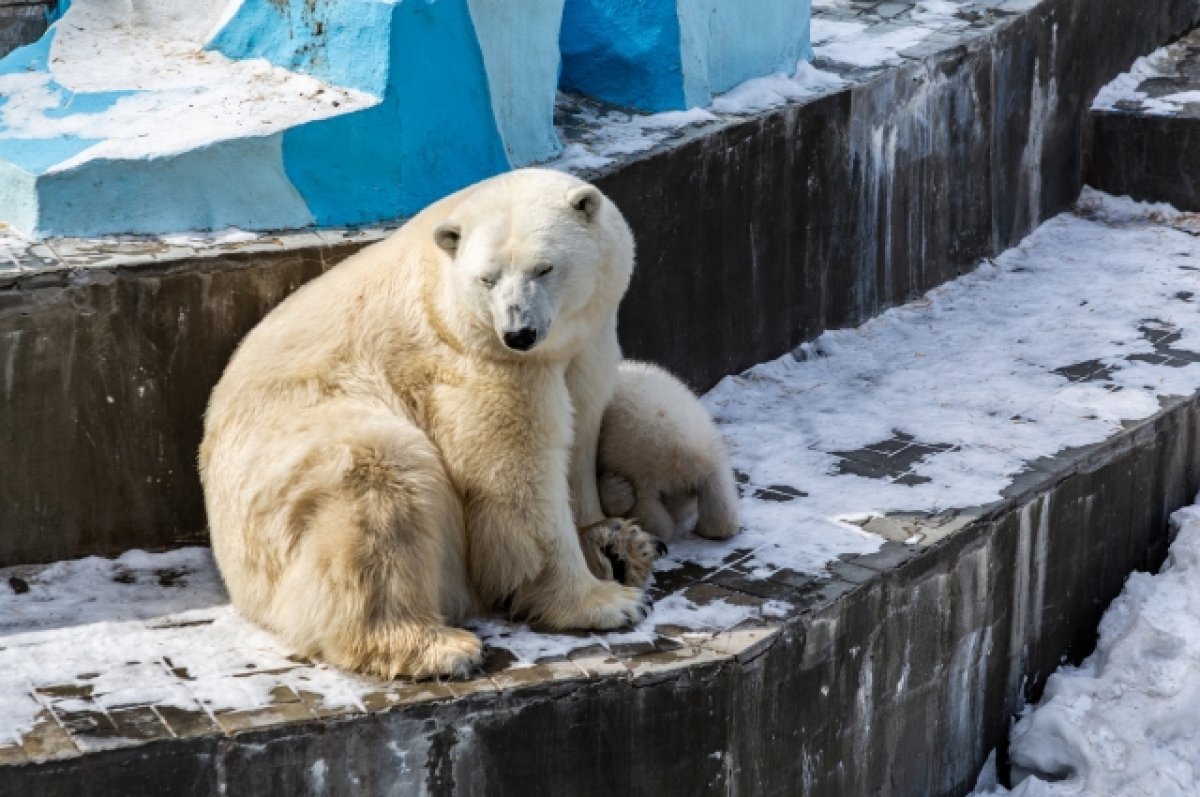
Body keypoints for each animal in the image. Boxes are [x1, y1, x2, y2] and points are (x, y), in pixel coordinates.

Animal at [200, 168, 662, 676]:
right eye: (487, 278)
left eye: (544, 268)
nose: (518, 333)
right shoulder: (475, 360)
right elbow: (516, 471)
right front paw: (605, 601)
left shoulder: (586, 342)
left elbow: (580, 435)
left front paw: (613, 539)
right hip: (283, 471)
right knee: (378, 472)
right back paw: (435, 646)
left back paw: (624, 548)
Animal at [600, 360, 739, 542]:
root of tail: (680, 447)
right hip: (710, 449)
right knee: (719, 489)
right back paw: (716, 527)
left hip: (638, 466)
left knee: (648, 507)